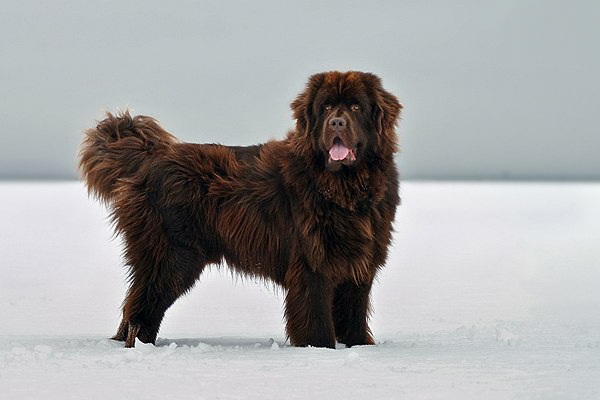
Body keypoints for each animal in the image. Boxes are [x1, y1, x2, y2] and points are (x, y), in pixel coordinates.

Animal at [78, 71, 398, 346]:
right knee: (142, 306)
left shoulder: (359, 266)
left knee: (134, 303)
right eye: (326, 106)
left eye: (356, 106)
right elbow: (316, 320)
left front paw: (359, 346)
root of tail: (149, 159)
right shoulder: (312, 265)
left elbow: (353, 315)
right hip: (173, 256)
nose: (337, 123)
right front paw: (319, 350)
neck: (343, 186)